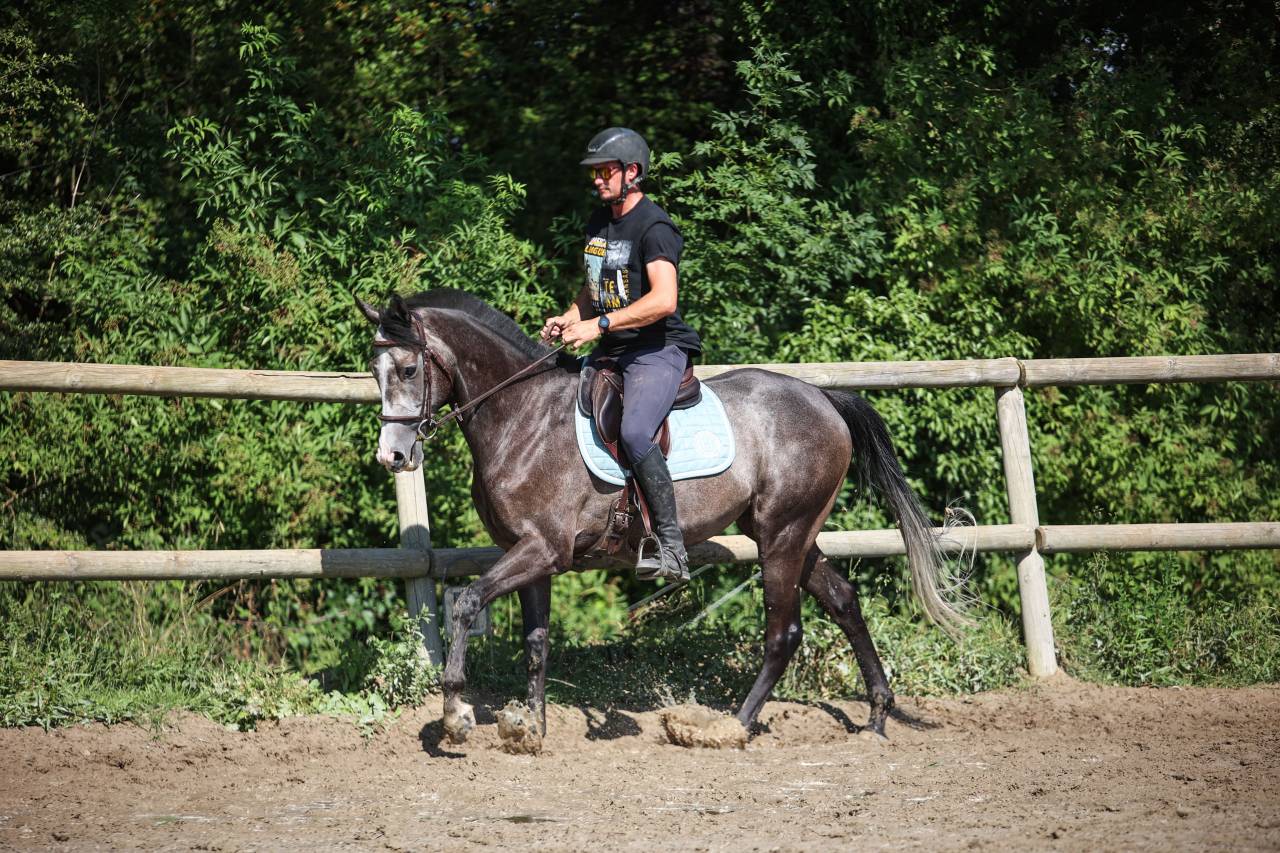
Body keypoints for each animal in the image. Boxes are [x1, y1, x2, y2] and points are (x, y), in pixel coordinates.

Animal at [357, 289, 968, 746]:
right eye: (374, 370)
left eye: (408, 368)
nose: (393, 457)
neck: (521, 417)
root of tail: (824, 399)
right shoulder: (531, 555)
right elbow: (536, 641)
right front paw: (531, 727)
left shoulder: (541, 549)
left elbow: (465, 603)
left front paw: (457, 713)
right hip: (791, 533)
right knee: (843, 601)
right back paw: (878, 715)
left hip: (782, 534)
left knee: (783, 632)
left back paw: (730, 726)